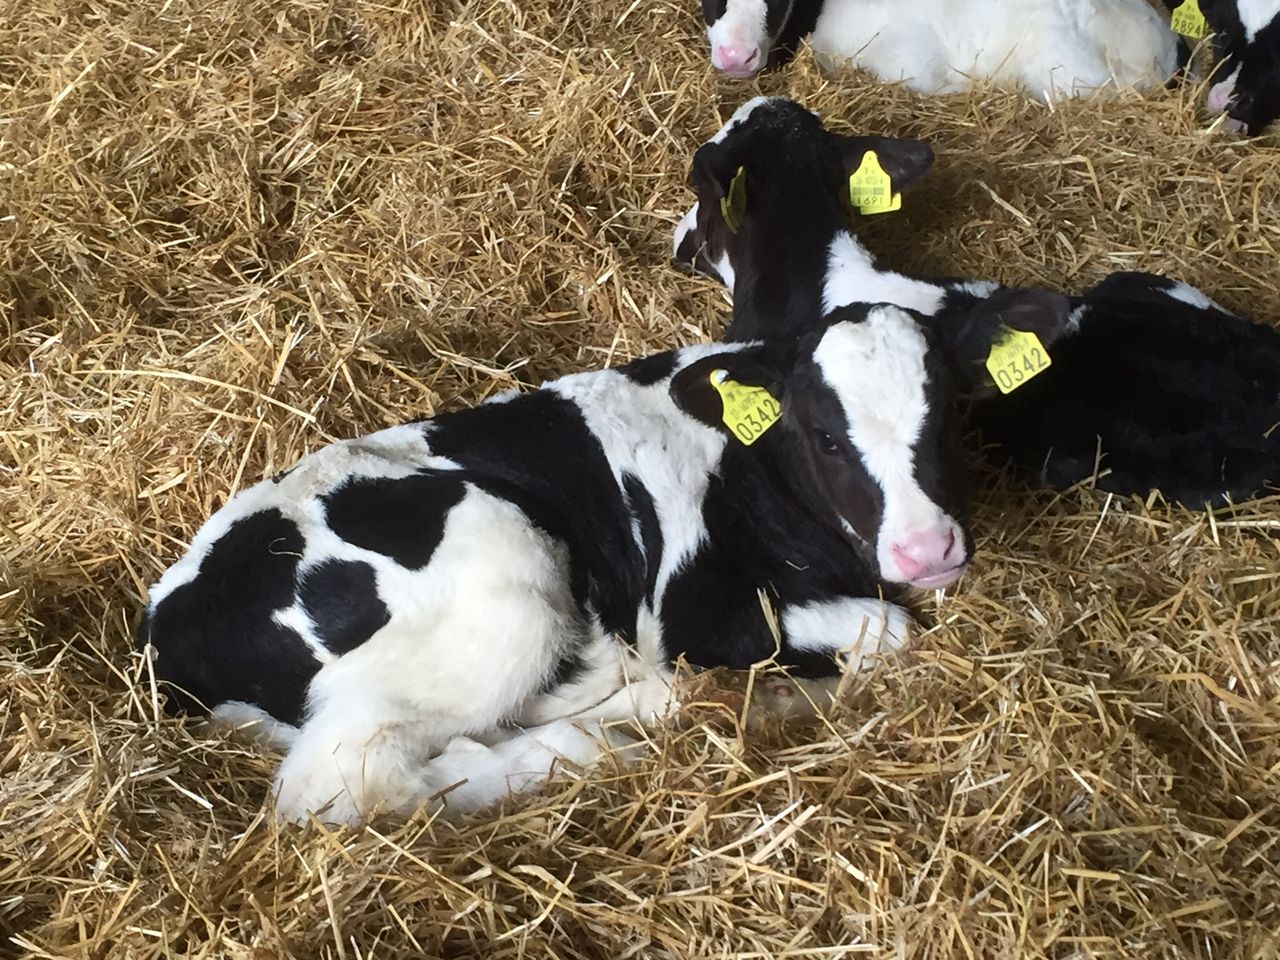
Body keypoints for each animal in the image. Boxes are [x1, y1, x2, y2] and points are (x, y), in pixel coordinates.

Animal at [136, 293, 1068, 825]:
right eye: (826, 433)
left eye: (948, 413)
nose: (926, 547)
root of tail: (167, 621)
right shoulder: (702, 609)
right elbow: (888, 632)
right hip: (504, 582)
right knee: (344, 784)